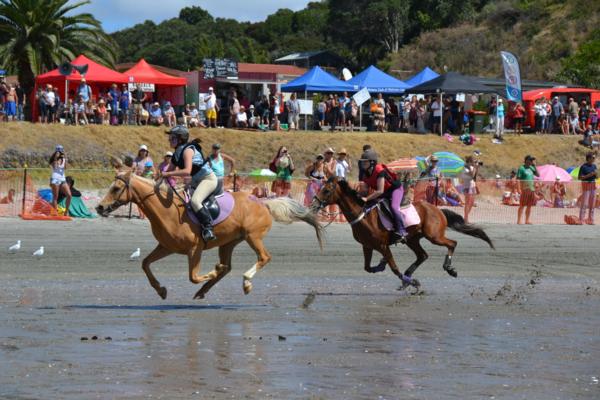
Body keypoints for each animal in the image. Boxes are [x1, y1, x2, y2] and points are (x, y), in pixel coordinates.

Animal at [97, 166, 324, 300]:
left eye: (116, 189)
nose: (99, 207)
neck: (166, 209)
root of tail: (264, 203)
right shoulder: (167, 247)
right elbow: (145, 263)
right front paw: (161, 290)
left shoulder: (194, 249)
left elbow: (193, 276)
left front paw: (211, 272)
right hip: (228, 242)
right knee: (227, 267)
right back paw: (204, 289)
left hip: (253, 237)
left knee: (263, 257)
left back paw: (245, 282)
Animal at [312, 177, 494, 288]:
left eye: (326, 190)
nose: (314, 204)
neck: (363, 215)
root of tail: (437, 209)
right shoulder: (367, 246)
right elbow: (367, 267)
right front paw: (381, 265)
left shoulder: (382, 245)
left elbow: (393, 267)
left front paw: (412, 282)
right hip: (413, 239)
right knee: (423, 255)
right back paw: (409, 275)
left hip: (434, 236)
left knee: (452, 243)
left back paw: (448, 268)